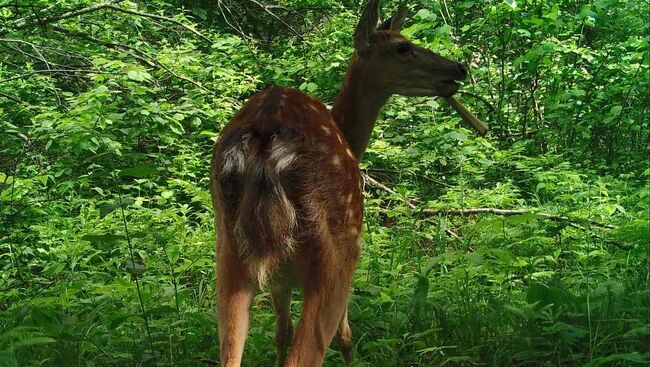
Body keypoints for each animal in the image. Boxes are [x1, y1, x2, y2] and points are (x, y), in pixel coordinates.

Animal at [208, 1, 480, 366]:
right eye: (402, 46)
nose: (458, 68)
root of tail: (266, 141)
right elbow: (345, 337)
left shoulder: (279, 278)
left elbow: (281, 335)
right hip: (337, 251)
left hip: (229, 253)